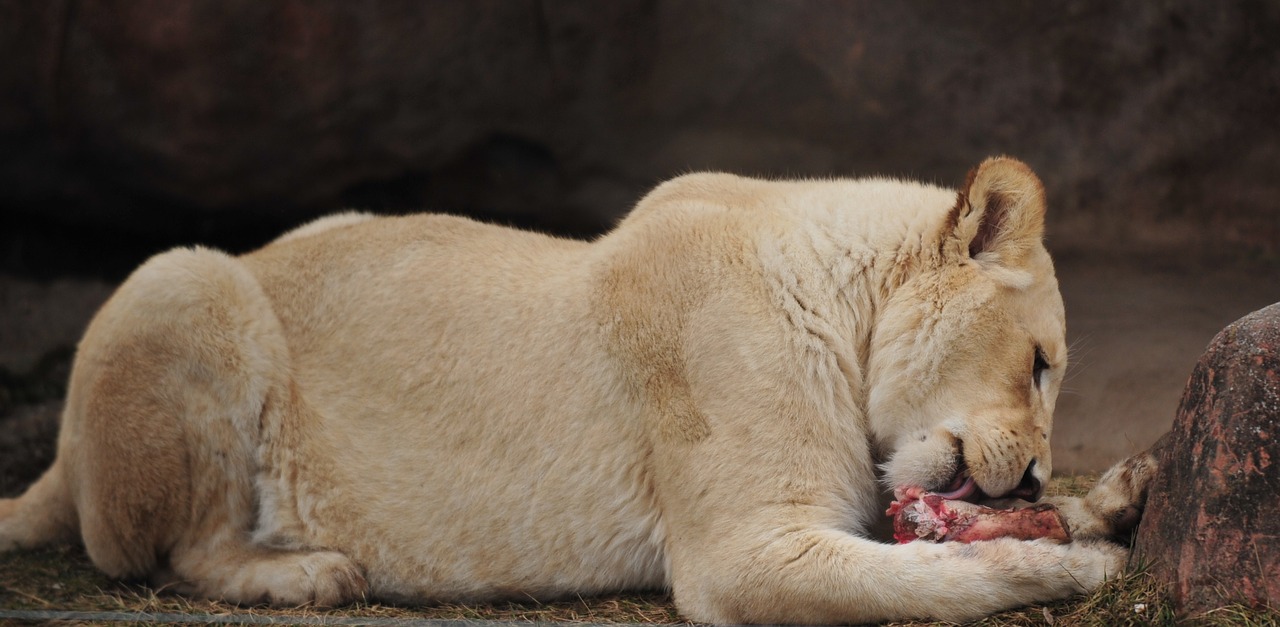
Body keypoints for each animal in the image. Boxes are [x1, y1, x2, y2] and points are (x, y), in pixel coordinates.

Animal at [0, 155, 1157, 621]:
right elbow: (944, 578)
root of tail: (58, 458)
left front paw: (1110, 498)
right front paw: (1084, 564)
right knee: (165, 553)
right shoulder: (744, 553)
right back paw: (310, 573)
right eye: (1041, 362)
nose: (1037, 469)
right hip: (185, 275)